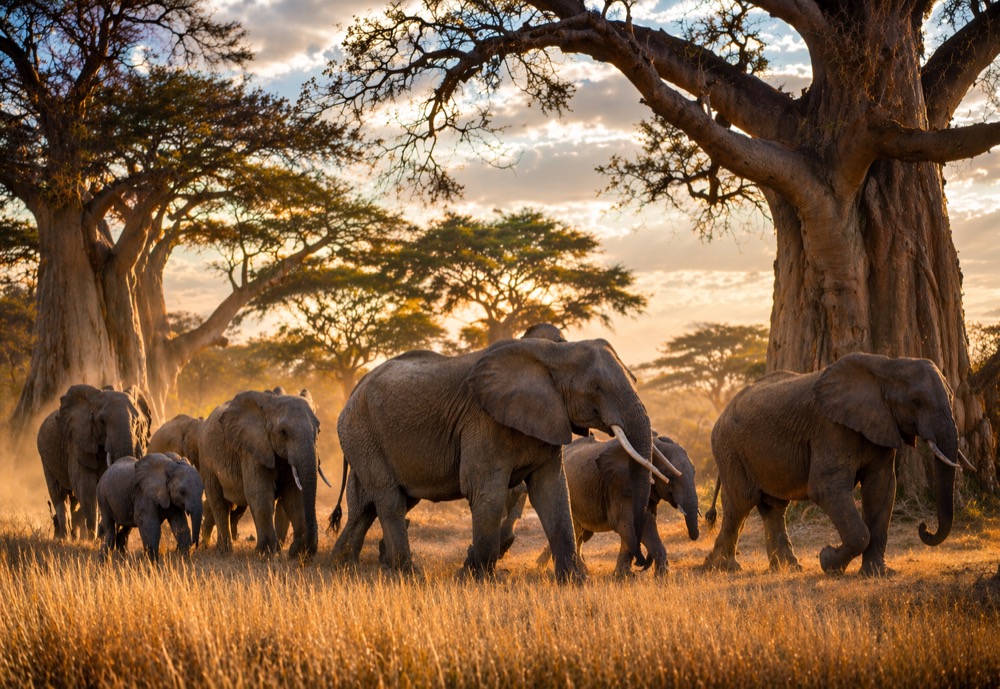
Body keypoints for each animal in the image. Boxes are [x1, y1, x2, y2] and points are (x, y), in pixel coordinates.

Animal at [38, 384, 153, 540]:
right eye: (102, 421)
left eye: (137, 422)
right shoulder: (77, 442)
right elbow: (85, 486)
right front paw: (92, 540)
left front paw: (98, 537)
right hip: (45, 456)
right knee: (59, 494)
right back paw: (64, 538)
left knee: (73, 499)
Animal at [198, 388, 323, 557]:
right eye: (283, 432)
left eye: (318, 430)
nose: (308, 550)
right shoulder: (250, 449)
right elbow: (259, 492)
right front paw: (265, 553)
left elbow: (294, 496)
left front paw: (296, 552)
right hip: (206, 460)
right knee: (218, 502)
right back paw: (225, 551)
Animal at [332, 337, 676, 581]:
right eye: (595, 387)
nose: (641, 564)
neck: (554, 354)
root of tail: (352, 393)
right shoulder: (483, 421)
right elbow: (487, 494)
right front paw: (481, 580)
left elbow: (552, 492)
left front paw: (574, 582)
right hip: (362, 433)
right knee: (389, 500)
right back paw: (408, 575)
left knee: (369, 506)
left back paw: (341, 567)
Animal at [536, 434, 699, 577]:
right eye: (668, 475)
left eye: (694, 472)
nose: (641, 564)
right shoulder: (618, 486)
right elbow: (629, 524)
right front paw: (660, 577)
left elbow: (634, 526)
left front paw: (624, 575)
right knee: (576, 530)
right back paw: (580, 571)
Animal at [703, 352, 975, 576]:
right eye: (916, 401)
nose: (924, 527)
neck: (887, 366)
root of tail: (721, 413)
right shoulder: (831, 427)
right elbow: (827, 489)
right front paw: (827, 560)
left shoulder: (882, 425)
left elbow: (882, 488)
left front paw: (877, 574)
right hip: (729, 447)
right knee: (740, 503)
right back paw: (723, 569)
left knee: (773, 506)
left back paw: (787, 568)